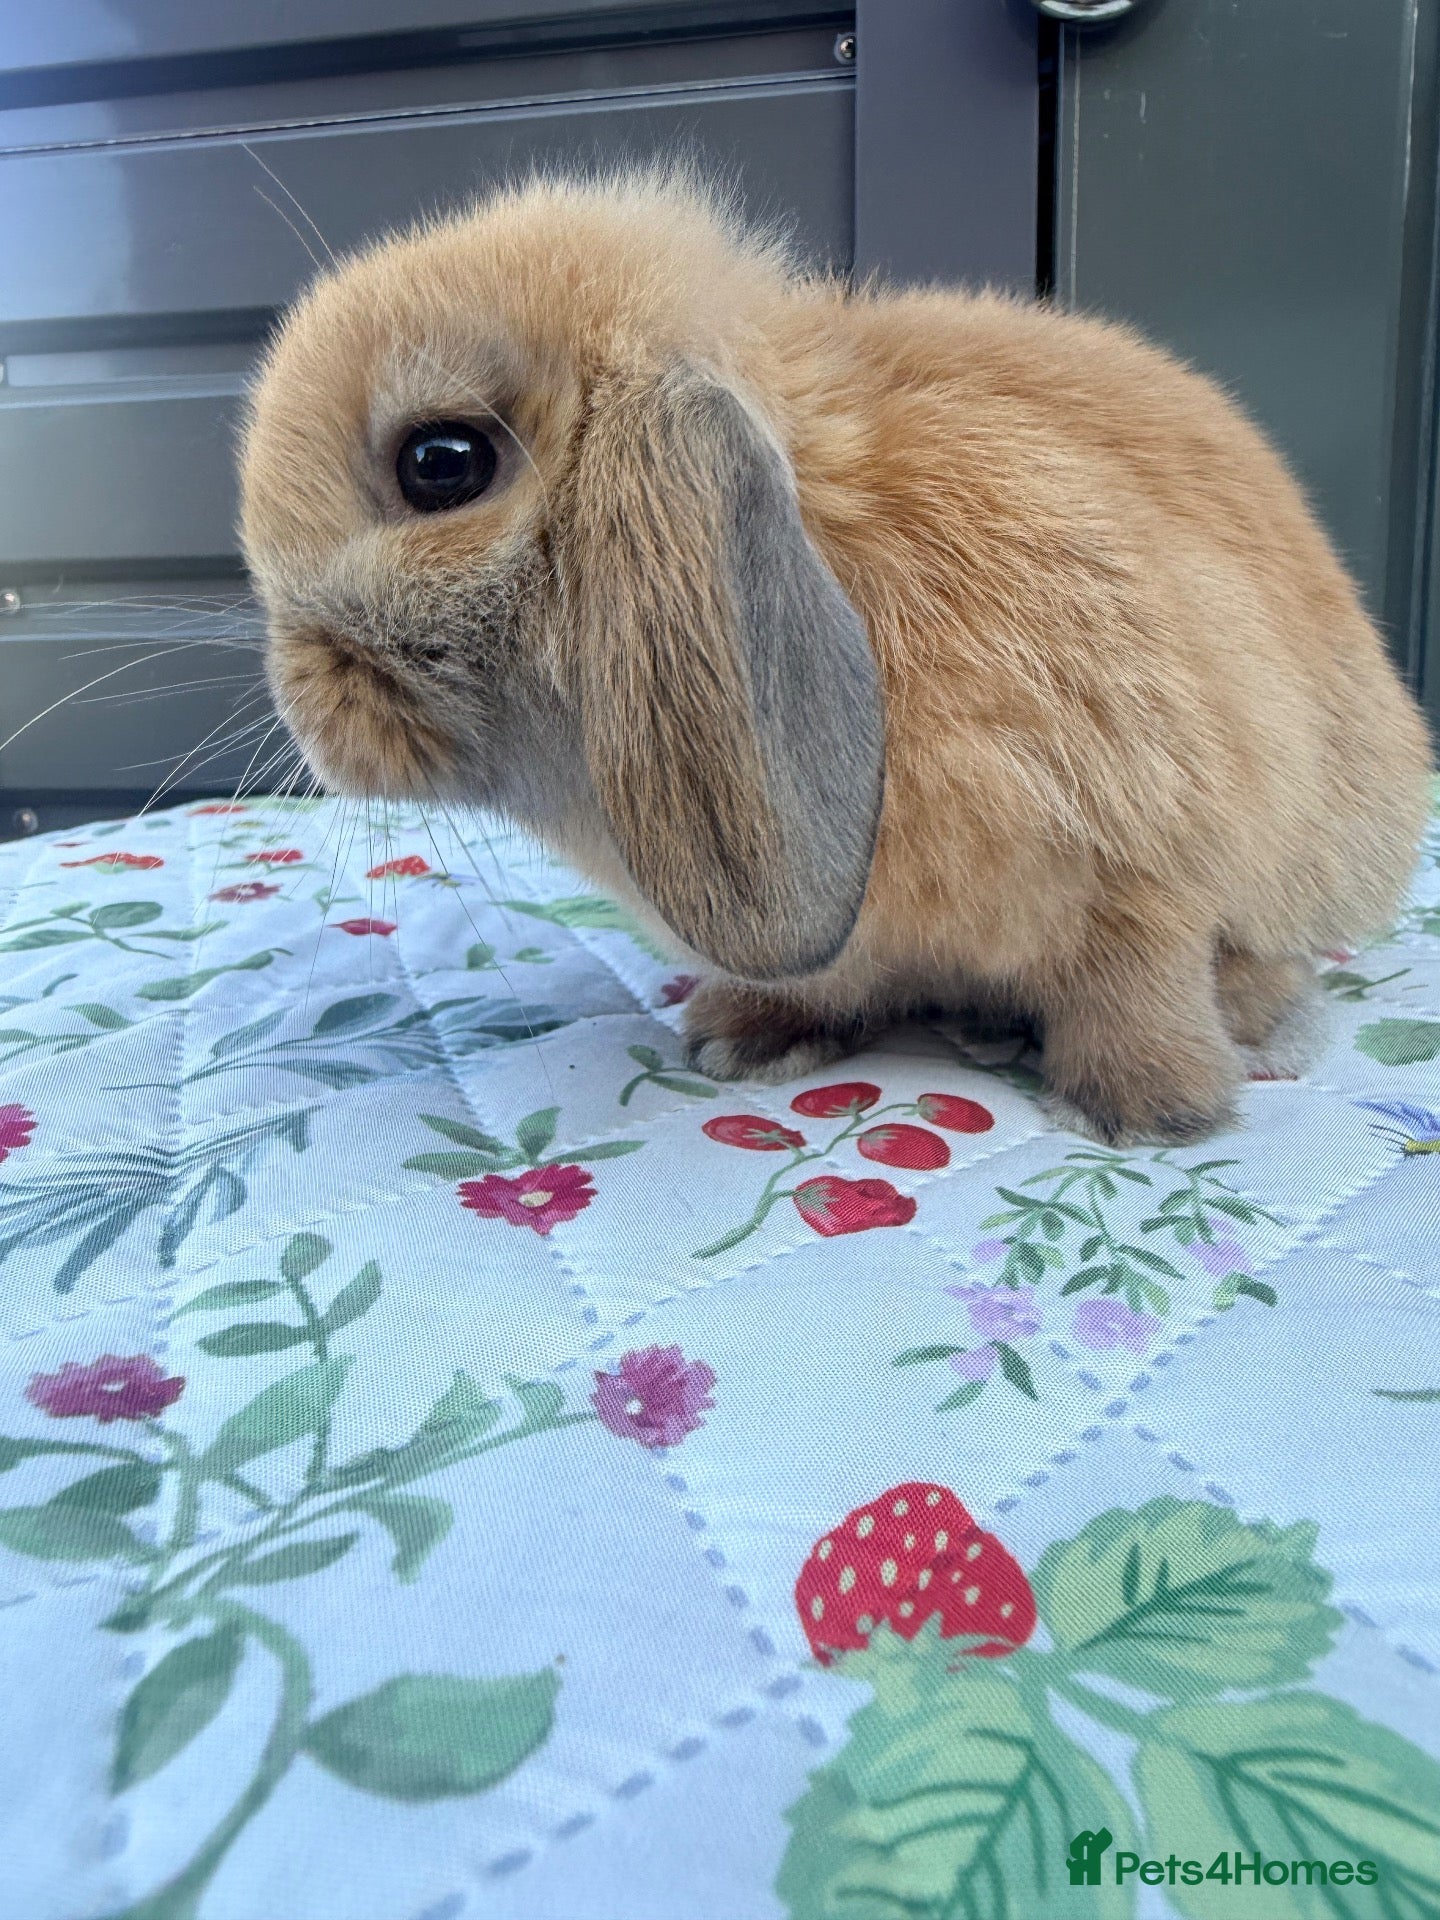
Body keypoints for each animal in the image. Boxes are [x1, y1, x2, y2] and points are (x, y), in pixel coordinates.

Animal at [239, 166, 1433, 1145]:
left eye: (441, 462)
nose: (306, 711)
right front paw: (740, 1039)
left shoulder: (1143, 848)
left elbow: (1135, 982)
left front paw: (1148, 1110)